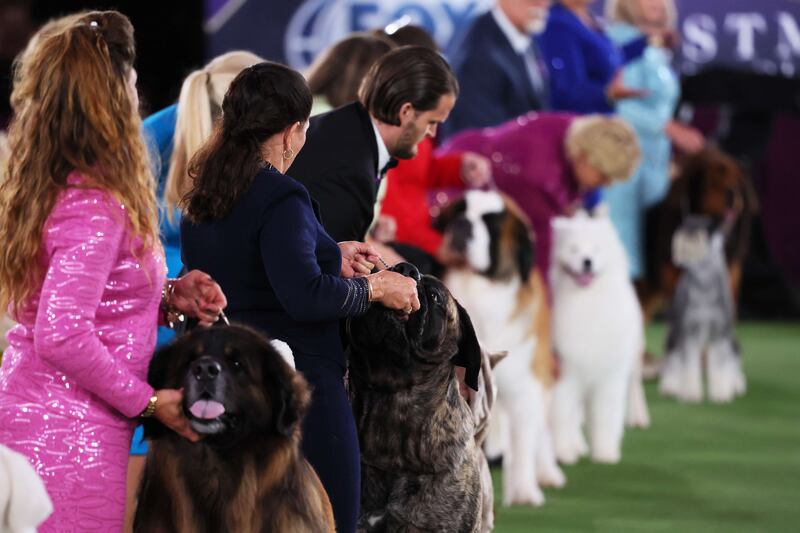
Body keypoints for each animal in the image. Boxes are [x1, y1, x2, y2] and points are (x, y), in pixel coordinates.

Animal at [434, 191, 564, 508]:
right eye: (460, 211)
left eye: (491, 224)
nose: (463, 224)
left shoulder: (526, 387)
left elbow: (525, 440)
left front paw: (524, 491)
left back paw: (546, 471)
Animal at [660, 214, 748, 402]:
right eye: (683, 225)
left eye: (698, 230)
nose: (680, 237)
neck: (704, 282)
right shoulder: (688, 332)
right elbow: (688, 366)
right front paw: (691, 394)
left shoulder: (720, 334)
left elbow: (721, 364)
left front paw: (721, 393)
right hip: (675, 333)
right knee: (673, 359)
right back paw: (670, 386)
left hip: (731, 338)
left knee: (733, 359)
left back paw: (736, 384)